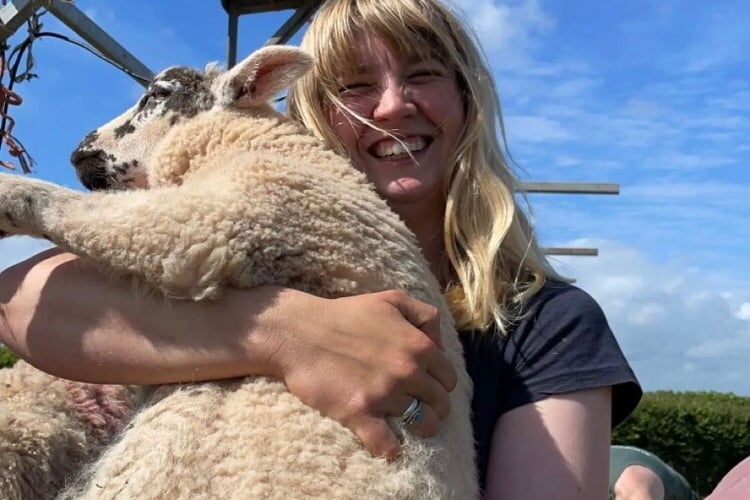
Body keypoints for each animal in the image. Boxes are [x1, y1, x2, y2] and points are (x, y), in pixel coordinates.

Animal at [0, 45, 476, 498]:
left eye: (158, 93)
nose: (78, 155)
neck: (254, 145)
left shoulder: (232, 215)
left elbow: (98, 216)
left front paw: (10, 196)